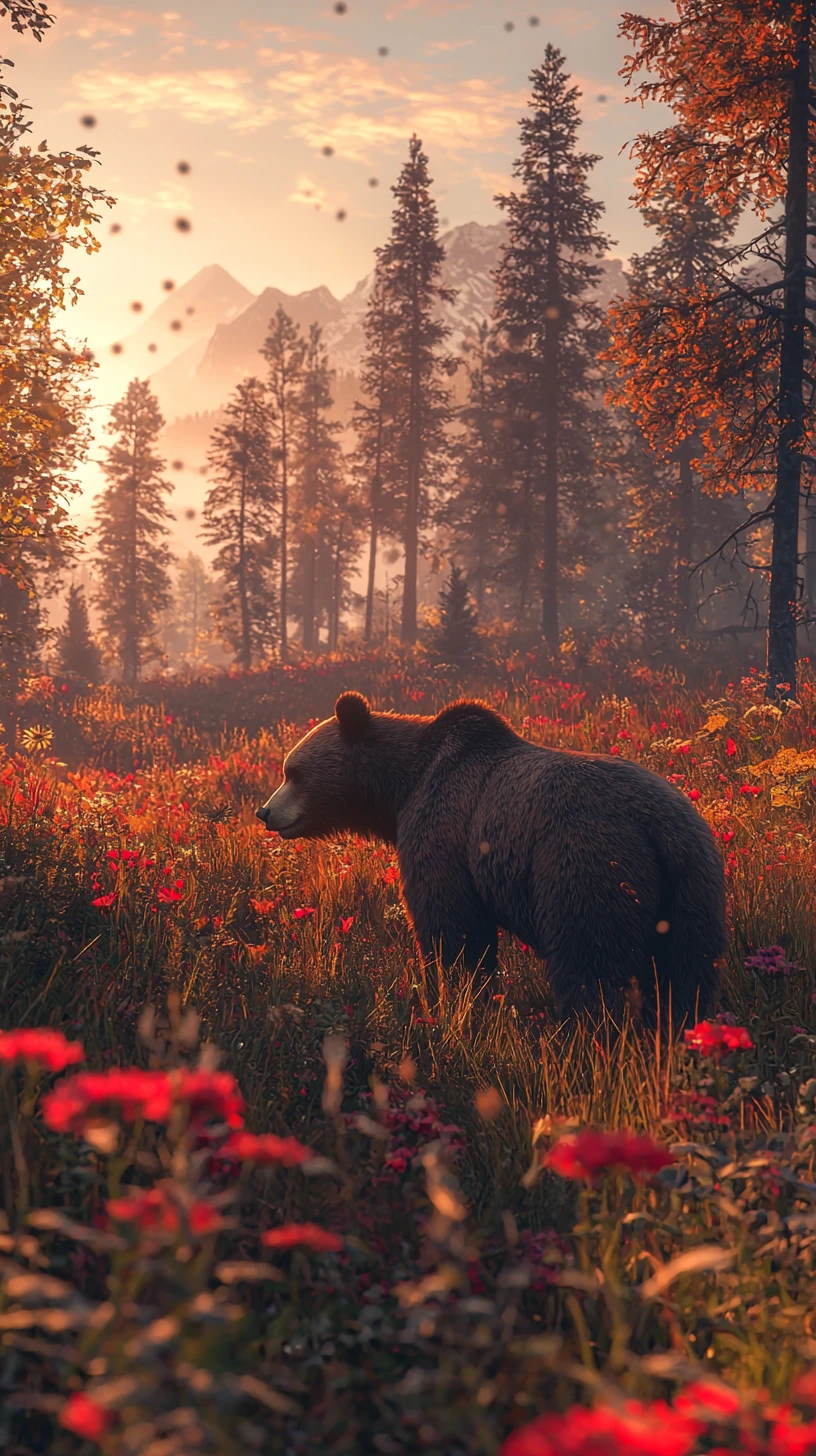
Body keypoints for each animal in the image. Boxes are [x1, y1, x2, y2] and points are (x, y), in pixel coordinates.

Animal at [256, 692, 727, 1027]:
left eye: (293, 772)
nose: (265, 812)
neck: (401, 787)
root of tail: (657, 830)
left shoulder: (443, 826)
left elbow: (452, 923)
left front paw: (456, 996)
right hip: (694, 887)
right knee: (689, 973)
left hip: (587, 863)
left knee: (593, 959)